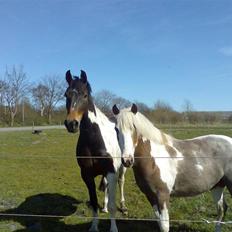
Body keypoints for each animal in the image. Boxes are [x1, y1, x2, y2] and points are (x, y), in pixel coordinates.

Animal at [64, 70, 127, 232]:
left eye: (85, 95)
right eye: (66, 95)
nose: (71, 124)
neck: (94, 139)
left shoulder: (112, 171)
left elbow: (113, 205)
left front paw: (113, 228)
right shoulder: (87, 175)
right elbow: (93, 202)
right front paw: (94, 226)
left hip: (122, 168)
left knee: (121, 182)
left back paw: (123, 206)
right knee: (105, 186)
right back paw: (104, 207)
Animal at [112, 104, 232, 232]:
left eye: (133, 127)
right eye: (116, 129)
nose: (127, 160)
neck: (153, 158)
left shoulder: (163, 196)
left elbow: (165, 226)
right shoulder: (151, 196)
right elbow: (159, 223)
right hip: (217, 185)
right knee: (221, 209)